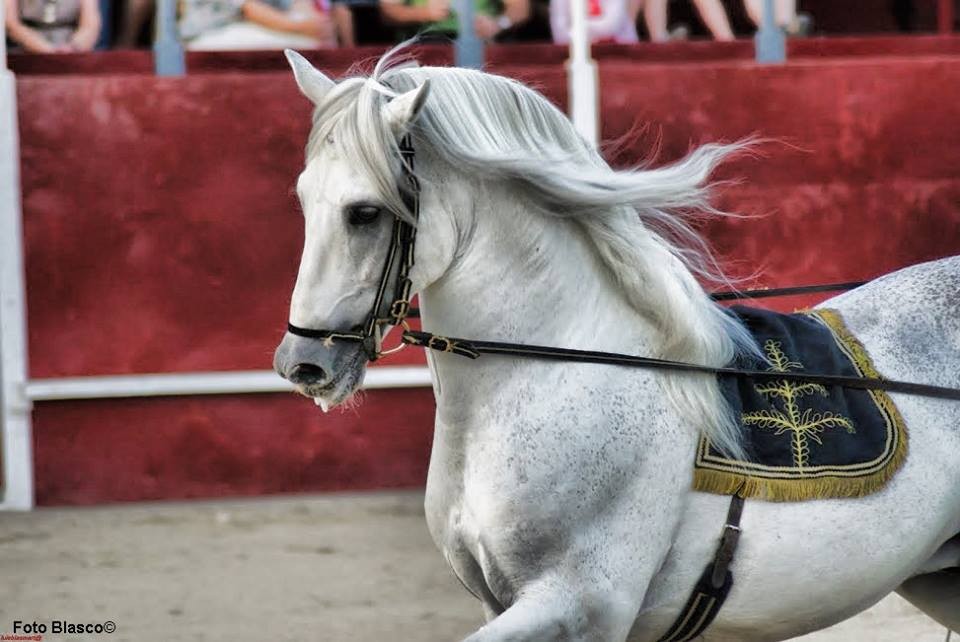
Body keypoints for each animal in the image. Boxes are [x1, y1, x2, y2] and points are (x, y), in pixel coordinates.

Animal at [270, 47, 960, 636]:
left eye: (365, 212)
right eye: (303, 199)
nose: (303, 364)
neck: (562, 367)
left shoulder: (579, 605)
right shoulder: (509, 602)